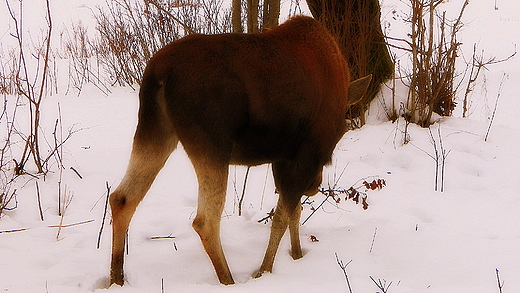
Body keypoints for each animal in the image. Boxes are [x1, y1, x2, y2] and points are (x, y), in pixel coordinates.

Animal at [109, 14, 372, 284]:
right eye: (340, 133)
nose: (315, 186)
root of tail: (158, 73)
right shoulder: (305, 155)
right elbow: (283, 216)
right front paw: (264, 270)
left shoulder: (282, 159)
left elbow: (293, 213)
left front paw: (297, 255)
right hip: (212, 143)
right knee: (206, 220)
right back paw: (228, 279)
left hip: (155, 130)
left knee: (122, 197)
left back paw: (116, 277)